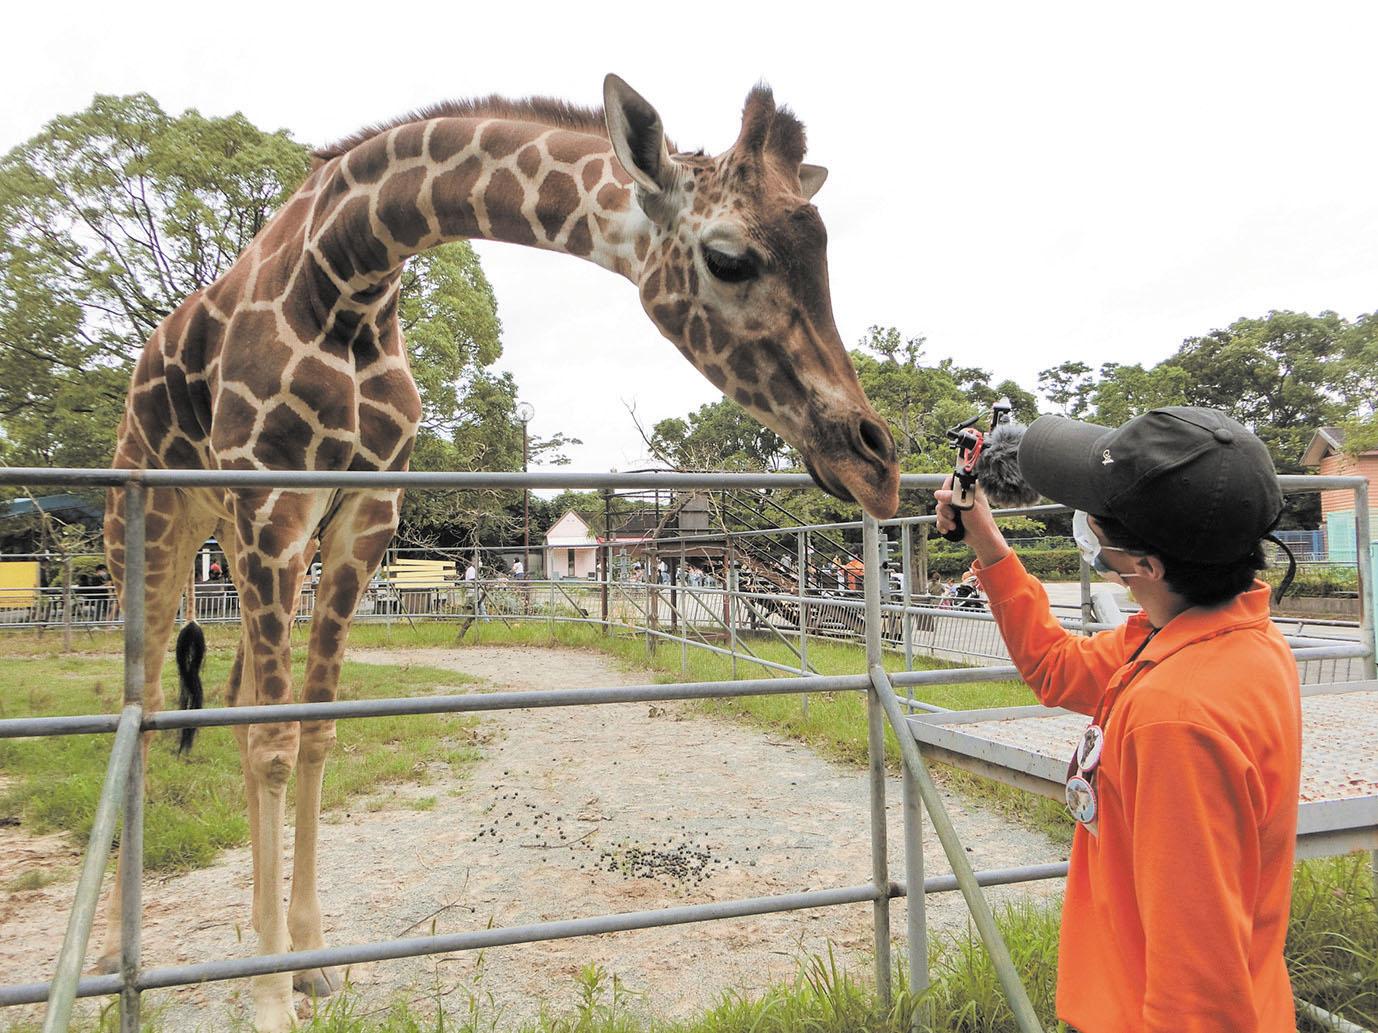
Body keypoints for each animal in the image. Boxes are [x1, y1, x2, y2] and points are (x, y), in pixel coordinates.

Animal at [99, 76, 903, 1030]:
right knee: (144, 706)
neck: (350, 271)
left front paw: (311, 961)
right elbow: (270, 745)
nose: (877, 461)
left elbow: (317, 730)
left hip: (237, 536)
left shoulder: (361, 516)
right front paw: (264, 996)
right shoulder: (270, 500)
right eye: (729, 259)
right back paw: (115, 961)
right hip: (153, 524)